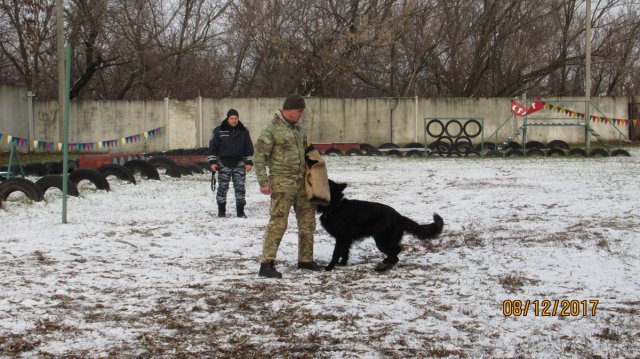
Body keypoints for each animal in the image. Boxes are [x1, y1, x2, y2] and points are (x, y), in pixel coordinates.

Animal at [316, 181, 444, 272]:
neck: (335, 207)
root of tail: (399, 216)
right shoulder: (346, 239)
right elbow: (345, 252)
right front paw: (342, 264)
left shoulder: (341, 238)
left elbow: (336, 253)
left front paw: (329, 267)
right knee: (397, 250)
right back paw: (386, 261)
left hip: (381, 241)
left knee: (395, 257)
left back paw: (383, 269)